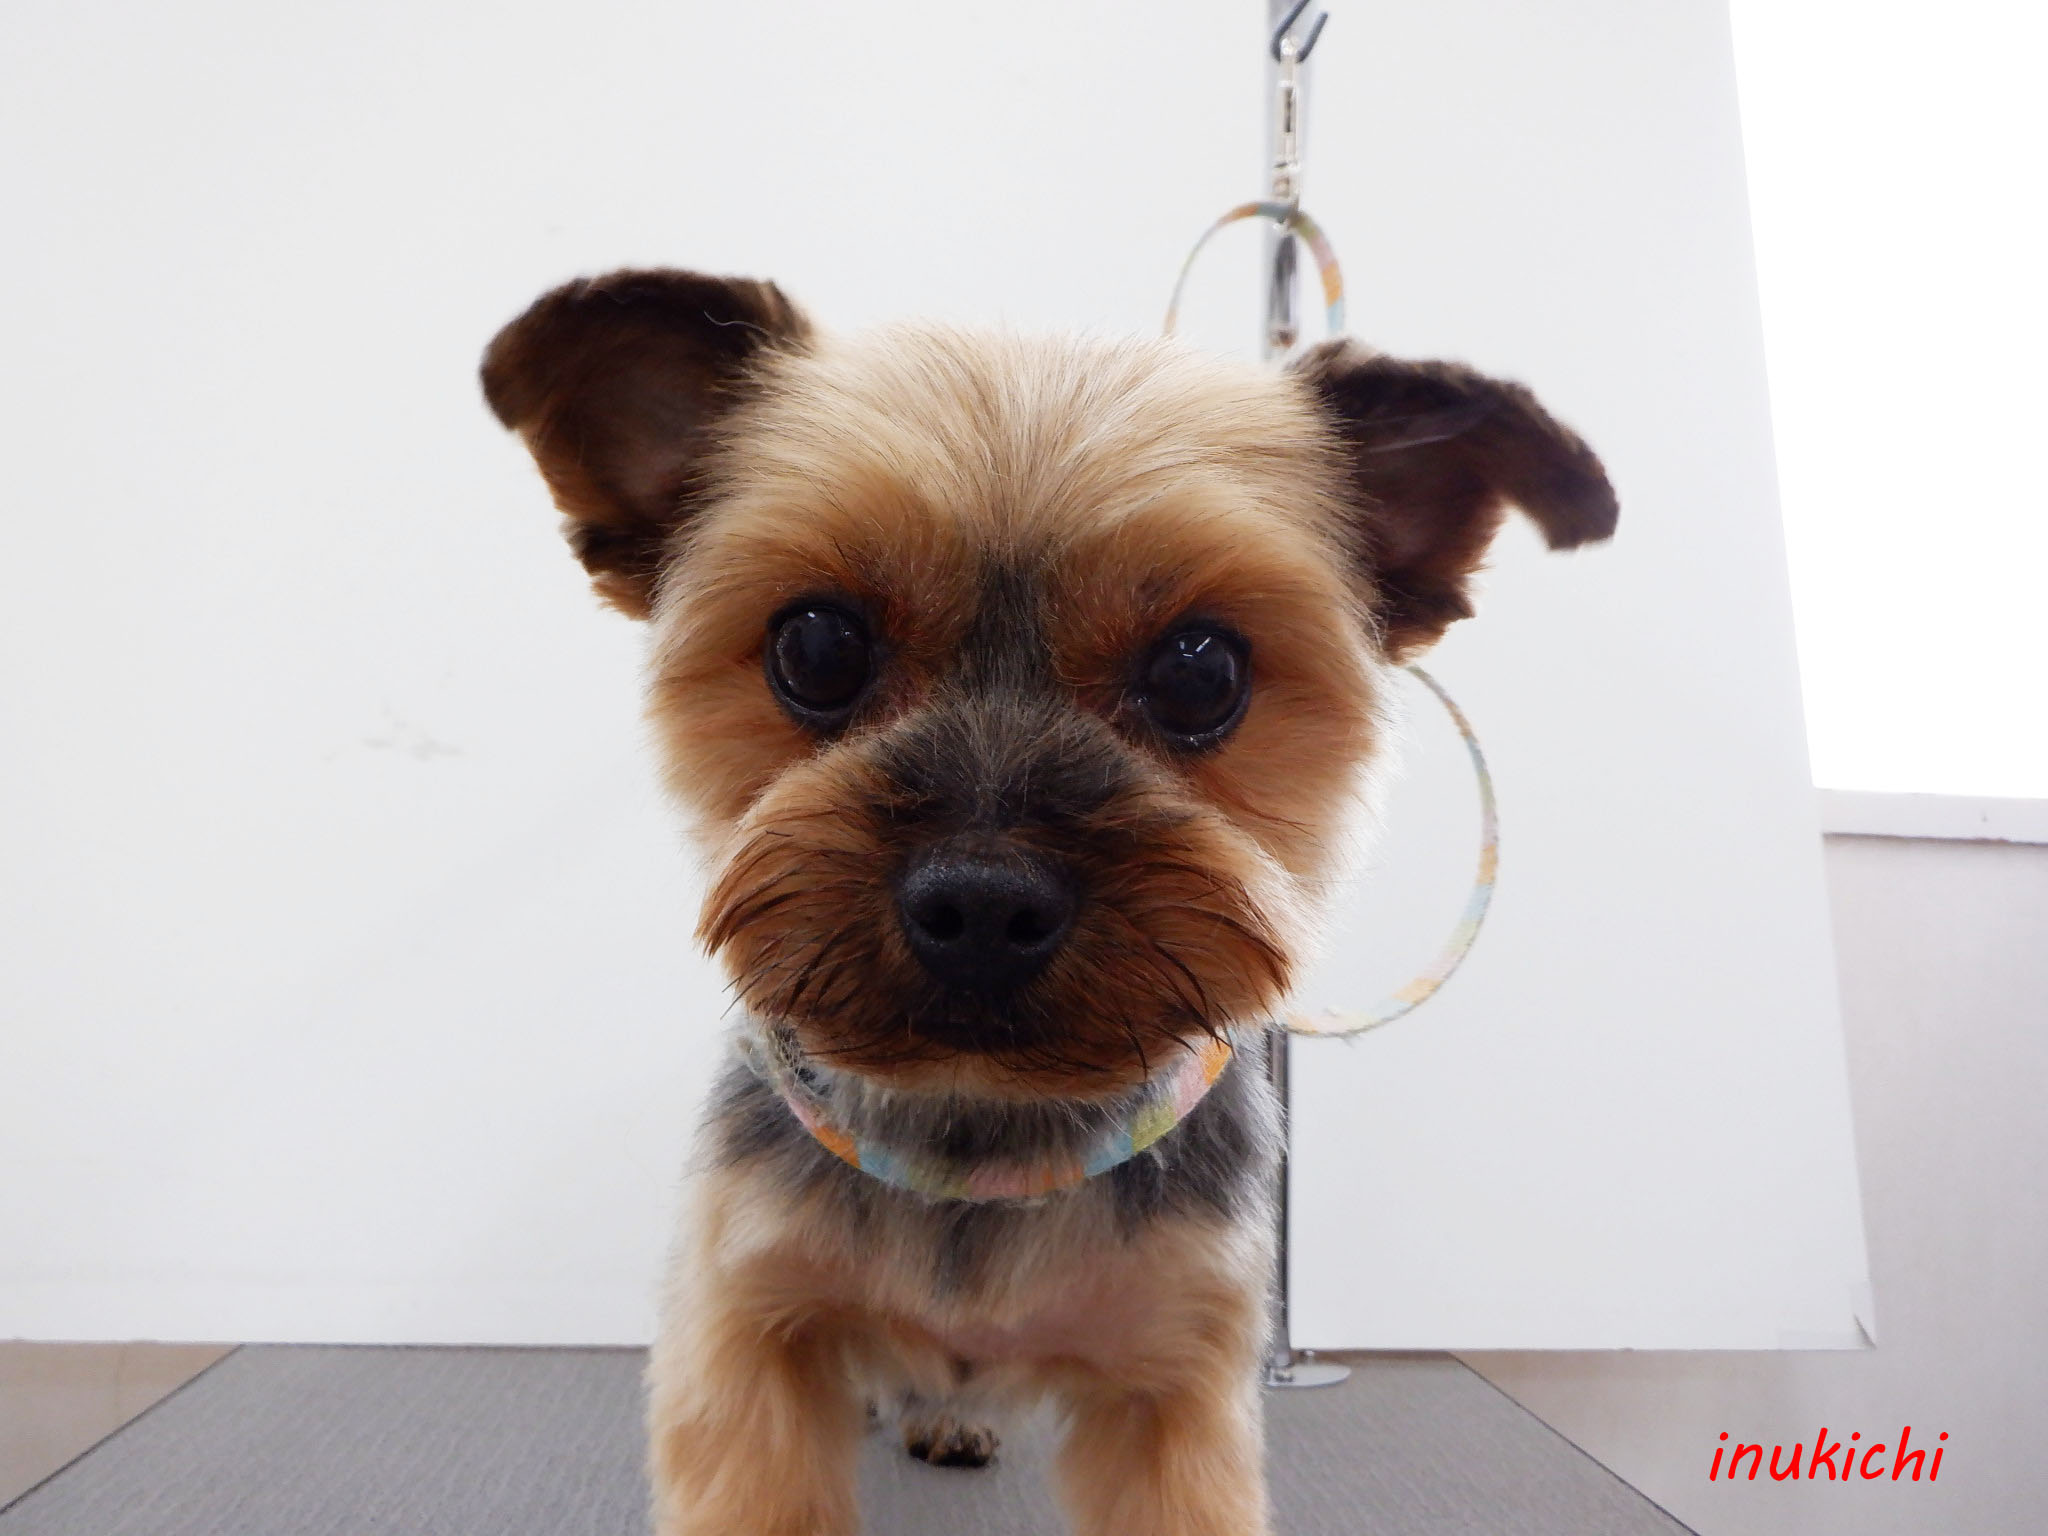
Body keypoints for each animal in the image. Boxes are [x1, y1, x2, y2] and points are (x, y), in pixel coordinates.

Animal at [480, 267, 1615, 1536]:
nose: (981, 902)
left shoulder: (1176, 1382)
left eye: (1201, 671)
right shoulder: (745, 1333)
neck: (981, 1136)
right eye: (814, 646)